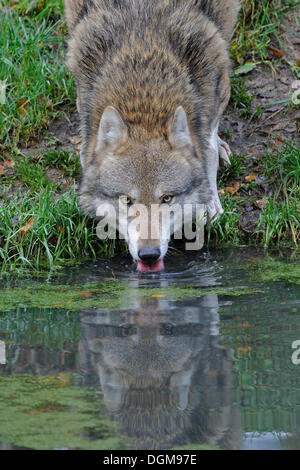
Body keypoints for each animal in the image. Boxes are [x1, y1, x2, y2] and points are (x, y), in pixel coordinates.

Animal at [63, 0, 241, 272]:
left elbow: (207, 148)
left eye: (167, 198)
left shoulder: (216, 80)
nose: (149, 254)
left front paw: (209, 202)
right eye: (126, 200)